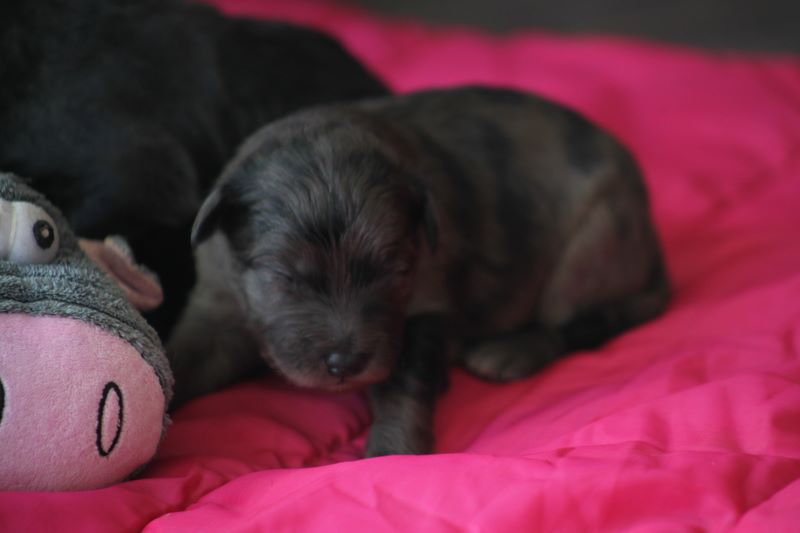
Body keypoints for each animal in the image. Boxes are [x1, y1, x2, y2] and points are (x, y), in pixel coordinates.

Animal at [172, 86, 670, 455]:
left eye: (392, 271)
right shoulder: (217, 298)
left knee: (571, 321)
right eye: (286, 279)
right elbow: (184, 355)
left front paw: (393, 448)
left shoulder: (425, 304)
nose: (344, 363)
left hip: (596, 238)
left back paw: (510, 351)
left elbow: (404, 380)